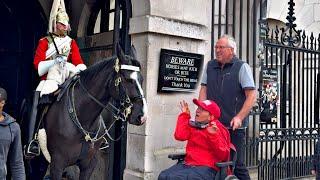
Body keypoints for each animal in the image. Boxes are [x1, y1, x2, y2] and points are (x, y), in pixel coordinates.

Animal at [40, 45, 146, 180]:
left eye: (141, 79)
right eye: (128, 79)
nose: (142, 116)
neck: (84, 120)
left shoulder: (89, 165)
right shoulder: (57, 165)